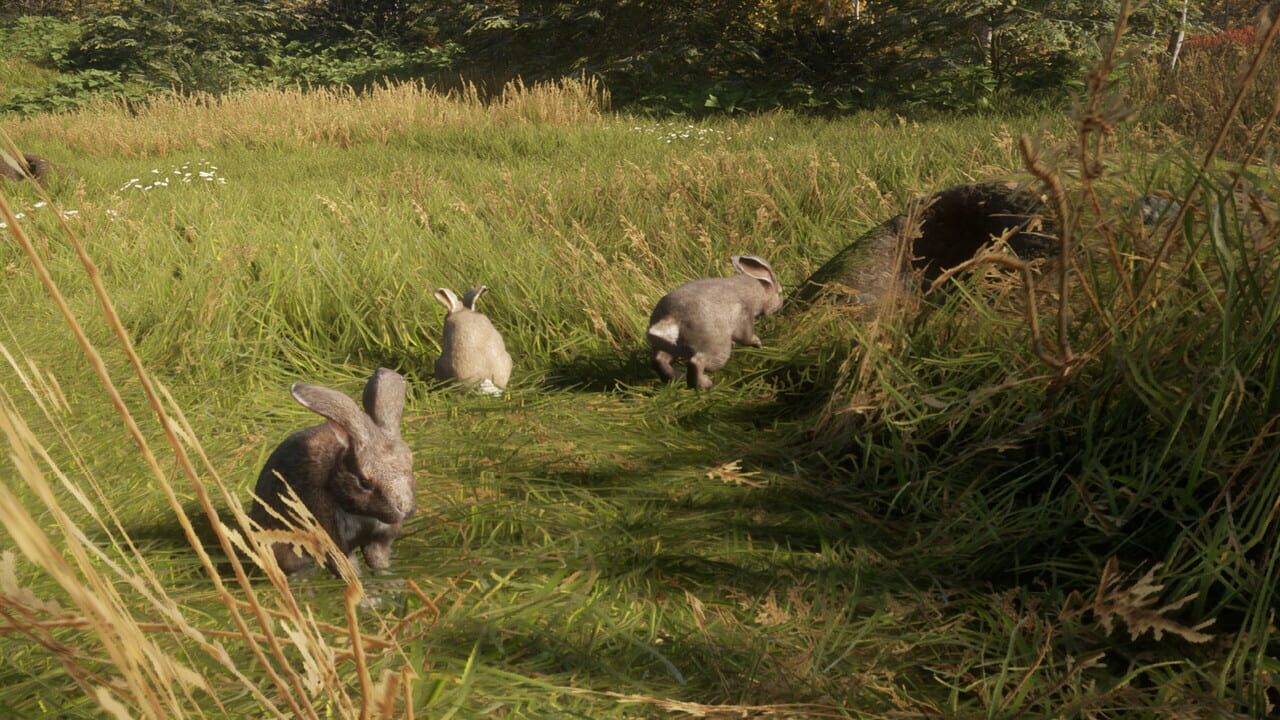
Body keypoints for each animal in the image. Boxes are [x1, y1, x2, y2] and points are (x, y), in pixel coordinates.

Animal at [249, 367, 416, 576]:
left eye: (411, 463)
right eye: (364, 483)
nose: (405, 508)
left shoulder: (379, 541)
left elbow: (378, 561)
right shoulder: (334, 542)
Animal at [647, 255, 783, 390]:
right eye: (779, 292)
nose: (781, 303)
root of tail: (671, 317)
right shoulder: (744, 319)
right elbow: (747, 337)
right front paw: (759, 344)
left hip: (668, 347)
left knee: (658, 360)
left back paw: (677, 378)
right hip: (716, 350)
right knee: (696, 362)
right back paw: (706, 384)